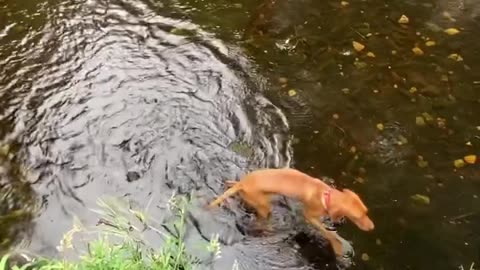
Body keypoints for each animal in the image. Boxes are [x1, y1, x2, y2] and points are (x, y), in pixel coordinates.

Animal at [208, 168, 374, 256]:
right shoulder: (309, 216)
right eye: (358, 217)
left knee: (232, 185)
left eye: (366, 212)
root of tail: (243, 183)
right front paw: (337, 245)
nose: (372, 228)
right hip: (264, 207)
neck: (326, 194)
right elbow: (327, 232)